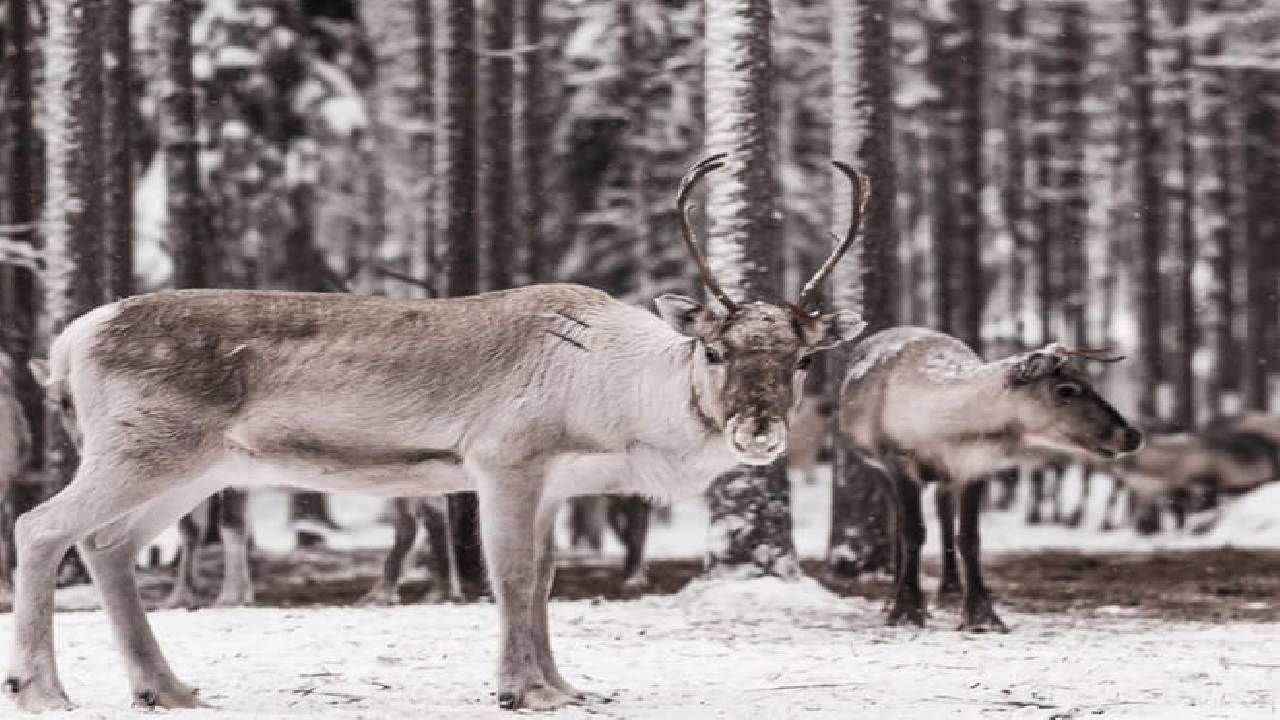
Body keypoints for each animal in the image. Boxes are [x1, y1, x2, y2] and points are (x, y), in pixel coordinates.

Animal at [3, 154, 869, 713]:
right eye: (714, 350)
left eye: (804, 358)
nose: (759, 432)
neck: (616, 398)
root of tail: (72, 339)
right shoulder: (505, 459)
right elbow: (511, 577)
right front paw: (526, 690)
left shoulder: (556, 483)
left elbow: (544, 579)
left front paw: (563, 683)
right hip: (144, 449)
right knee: (40, 526)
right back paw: (45, 690)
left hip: (195, 468)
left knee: (106, 544)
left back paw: (166, 687)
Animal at [840, 328, 1142, 632]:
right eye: (1065, 389)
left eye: (1090, 382)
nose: (1131, 435)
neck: (945, 427)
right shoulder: (899, 462)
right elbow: (913, 532)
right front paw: (906, 610)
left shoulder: (975, 464)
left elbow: (970, 538)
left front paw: (981, 616)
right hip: (876, 467)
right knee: (897, 522)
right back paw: (893, 598)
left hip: (946, 478)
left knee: (943, 512)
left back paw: (950, 594)